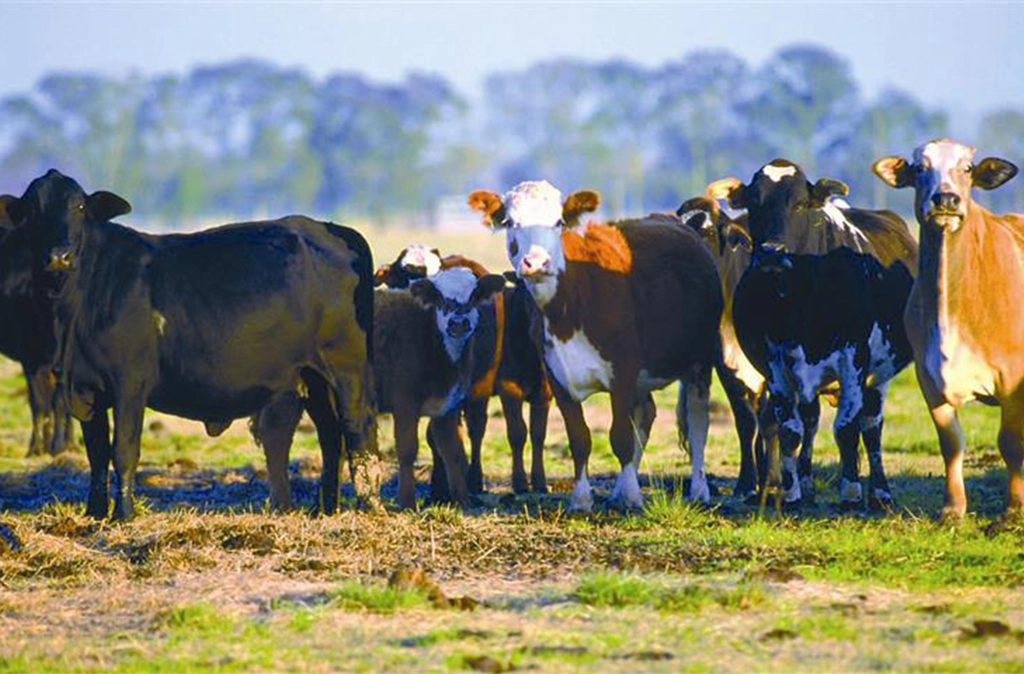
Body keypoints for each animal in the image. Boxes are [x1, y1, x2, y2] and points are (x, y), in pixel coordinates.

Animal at [372, 267, 505, 508]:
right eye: (440, 299)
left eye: (474, 296)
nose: (458, 323)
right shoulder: (404, 403)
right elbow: (407, 450)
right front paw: (407, 502)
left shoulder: (448, 405)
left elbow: (451, 450)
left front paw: (462, 500)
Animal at [469, 181, 723, 511]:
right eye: (511, 222)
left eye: (559, 222)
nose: (536, 262)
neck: (568, 307)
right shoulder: (558, 378)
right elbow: (580, 438)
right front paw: (581, 499)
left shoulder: (623, 373)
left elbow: (621, 437)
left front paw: (632, 497)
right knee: (646, 414)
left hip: (700, 362)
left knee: (697, 422)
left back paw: (699, 489)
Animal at [709, 160, 917, 511]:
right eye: (754, 203)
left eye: (801, 204)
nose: (771, 253)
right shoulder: (776, 366)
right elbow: (789, 430)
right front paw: (791, 494)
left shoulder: (854, 360)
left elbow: (846, 429)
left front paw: (851, 493)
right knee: (810, 421)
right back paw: (806, 486)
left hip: (879, 375)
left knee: (871, 426)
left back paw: (879, 493)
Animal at [873, 139, 1023, 518]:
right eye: (919, 168)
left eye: (967, 169)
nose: (946, 199)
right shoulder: (929, 378)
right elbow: (951, 444)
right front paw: (952, 509)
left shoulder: (1013, 377)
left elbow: (1011, 443)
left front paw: (1014, 509)